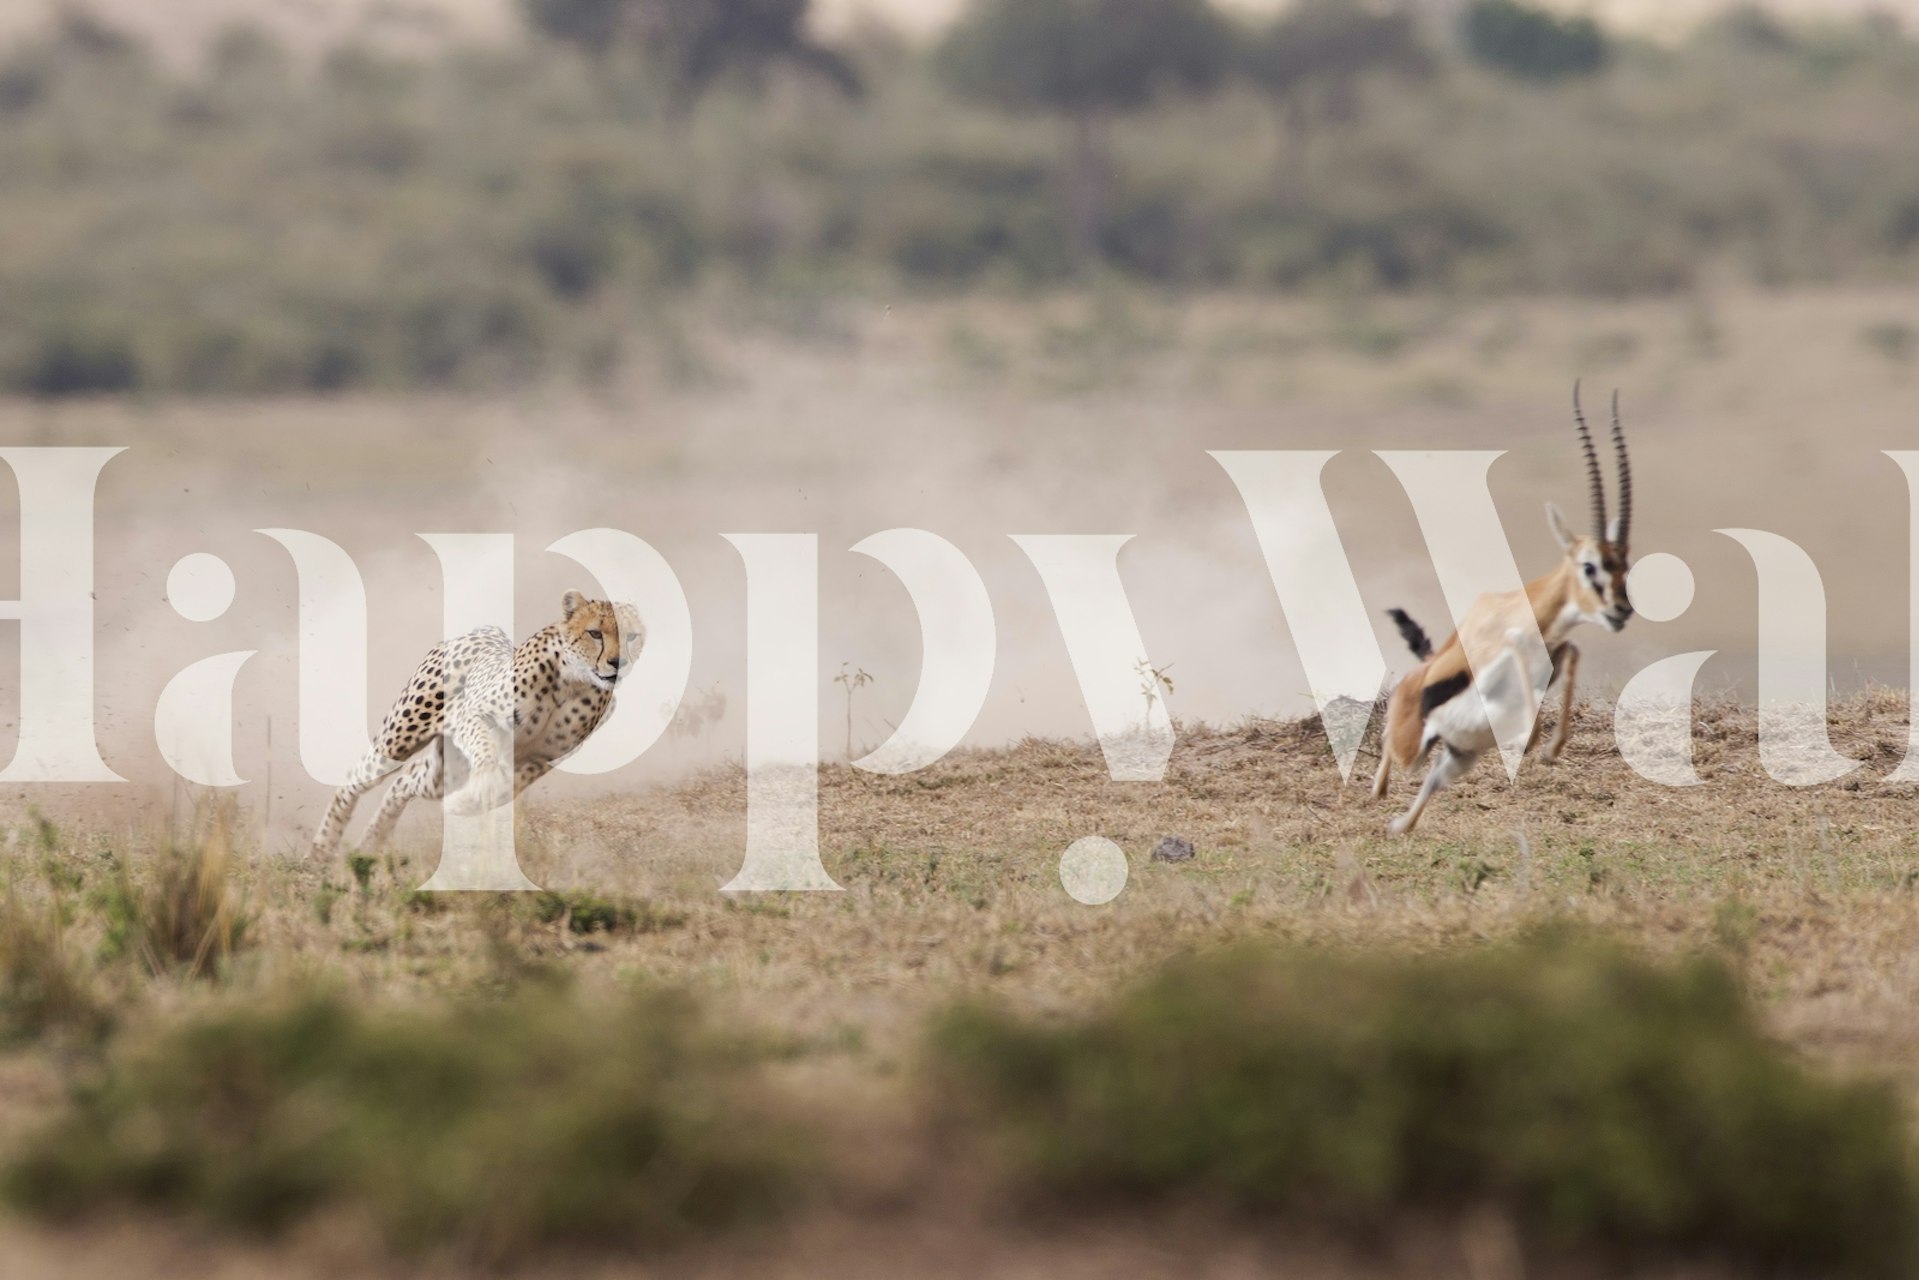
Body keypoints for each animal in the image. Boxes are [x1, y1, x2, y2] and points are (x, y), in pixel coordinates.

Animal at [309, 590, 644, 860]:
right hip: (400, 737)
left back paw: (371, 842)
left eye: (632, 636)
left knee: (404, 780)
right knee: (355, 778)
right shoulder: (472, 716)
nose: (618, 663)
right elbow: (485, 750)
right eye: (595, 633)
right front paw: (483, 780)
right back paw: (321, 849)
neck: (573, 682)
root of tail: (483, 630)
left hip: (444, 773)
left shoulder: (542, 758)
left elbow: (507, 786)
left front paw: (467, 802)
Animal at [1372, 383, 1635, 835]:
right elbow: (1518, 652)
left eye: (1624, 565)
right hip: (1415, 748)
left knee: (1429, 783)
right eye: (1590, 565)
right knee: (1393, 750)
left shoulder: (1556, 653)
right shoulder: (1502, 650)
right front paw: (1533, 740)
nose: (1621, 611)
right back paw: (1380, 790)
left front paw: (1551, 749)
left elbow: (1573, 651)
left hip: (1459, 756)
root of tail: (1419, 678)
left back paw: (1398, 825)